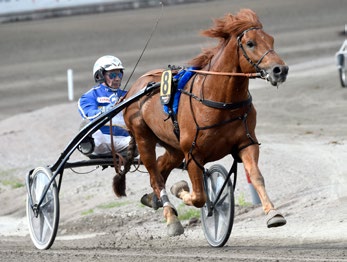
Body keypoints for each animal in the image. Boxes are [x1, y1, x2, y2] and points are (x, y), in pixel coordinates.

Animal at [121, 9, 288, 236]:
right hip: (143, 137)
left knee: (162, 167)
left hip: (173, 146)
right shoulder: (192, 154)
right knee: (156, 176)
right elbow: (199, 196)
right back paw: (171, 218)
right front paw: (181, 190)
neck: (220, 100)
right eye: (250, 43)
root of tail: (133, 88)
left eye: (271, 40)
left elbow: (256, 176)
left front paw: (273, 213)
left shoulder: (246, 143)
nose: (280, 70)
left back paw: (152, 199)